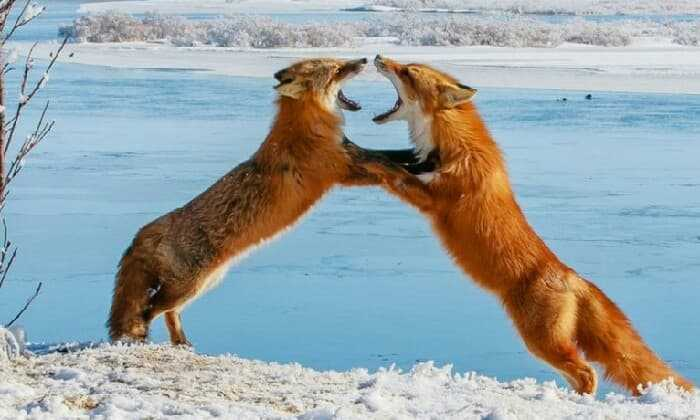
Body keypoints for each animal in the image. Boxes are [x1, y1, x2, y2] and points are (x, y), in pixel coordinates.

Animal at [108, 57, 417, 345]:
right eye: (337, 69)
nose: (363, 60)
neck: (309, 127)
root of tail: (146, 231)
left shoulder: (353, 153)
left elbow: (394, 156)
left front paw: (419, 160)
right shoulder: (342, 170)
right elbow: (389, 168)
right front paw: (408, 177)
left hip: (203, 285)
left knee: (170, 313)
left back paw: (182, 343)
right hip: (188, 286)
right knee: (148, 310)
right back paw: (145, 337)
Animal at [365, 55, 694, 395]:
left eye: (408, 72)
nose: (378, 57)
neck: (452, 148)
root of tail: (572, 276)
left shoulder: (434, 198)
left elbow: (392, 171)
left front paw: (365, 162)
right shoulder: (419, 168)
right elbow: (392, 158)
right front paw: (359, 151)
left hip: (540, 341)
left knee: (587, 372)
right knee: (579, 374)